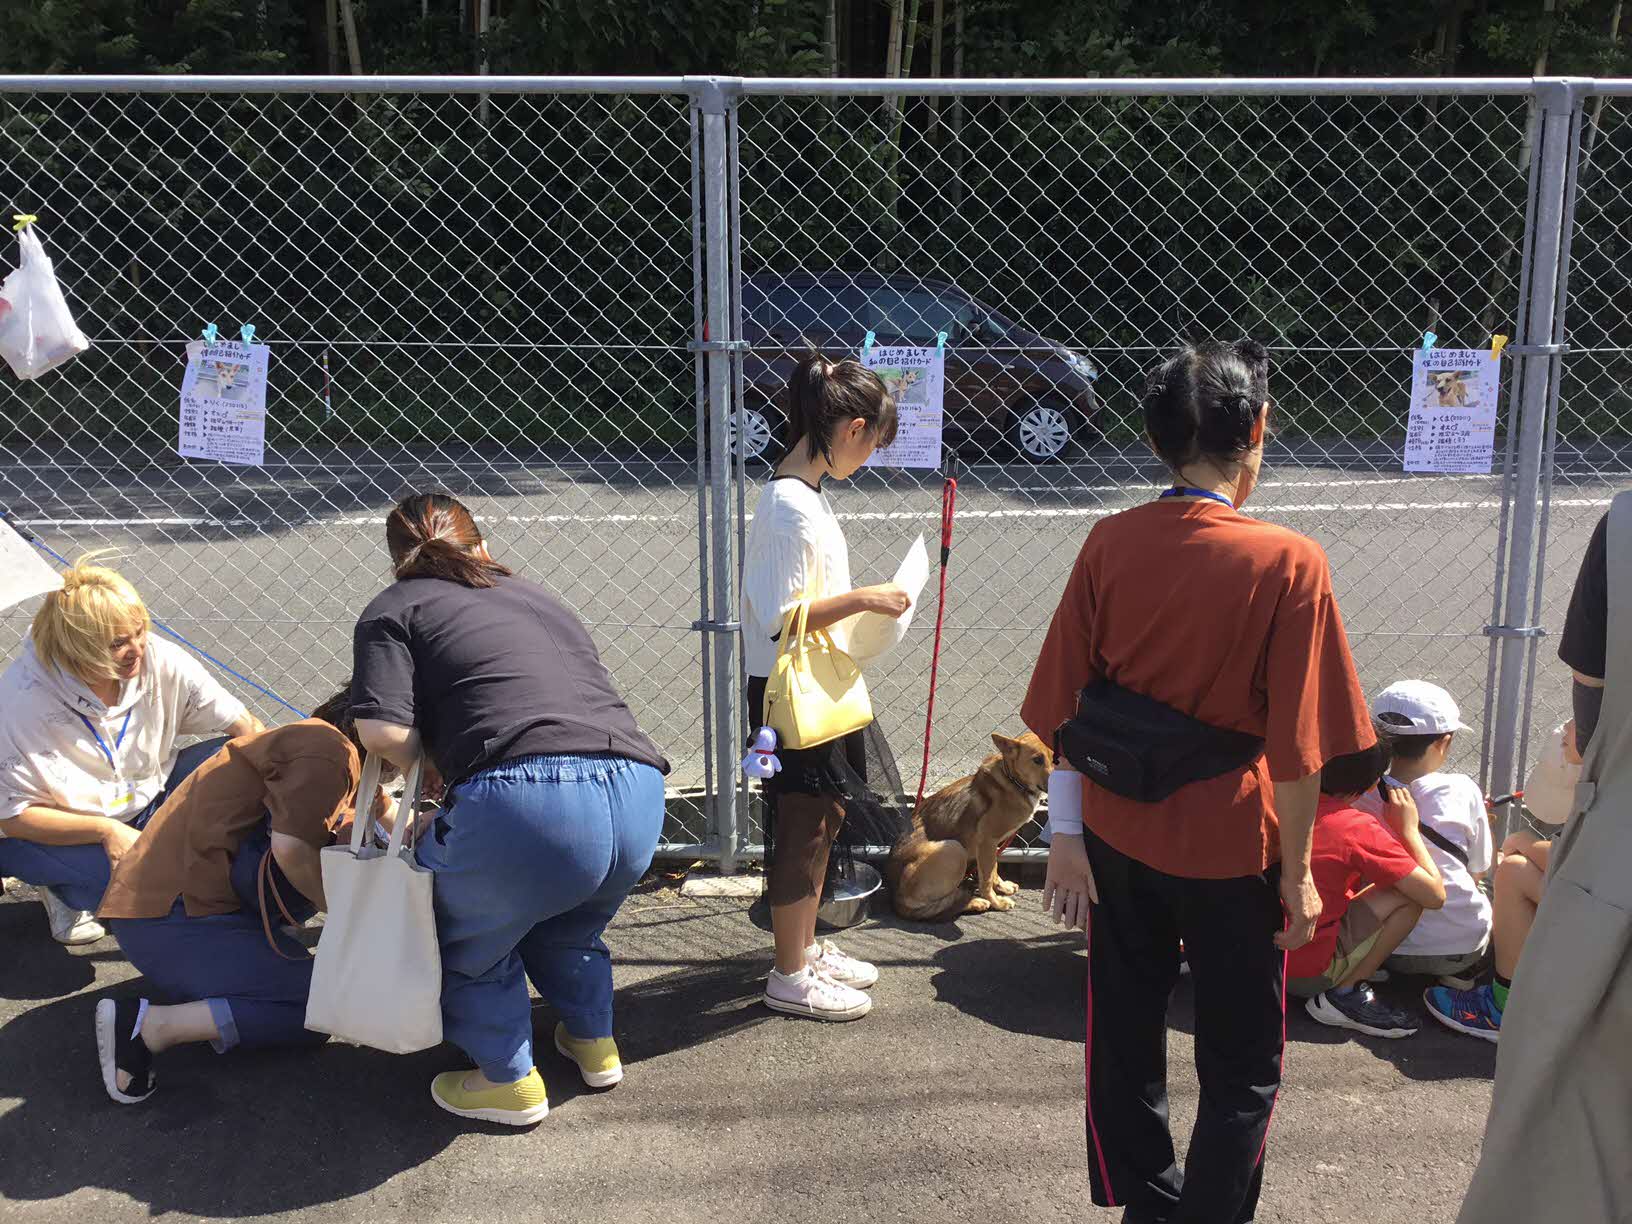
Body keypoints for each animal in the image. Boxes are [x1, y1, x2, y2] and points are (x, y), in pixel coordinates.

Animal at [887, 737, 1051, 920]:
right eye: (1037, 760)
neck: (1013, 780)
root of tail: (895, 900)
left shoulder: (990, 846)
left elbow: (993, 869)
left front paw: (1001, 887)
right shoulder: (987, 841)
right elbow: (986, 880)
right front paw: (997, 902)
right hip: (953, 849)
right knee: (938, 905)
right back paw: (973, 901)